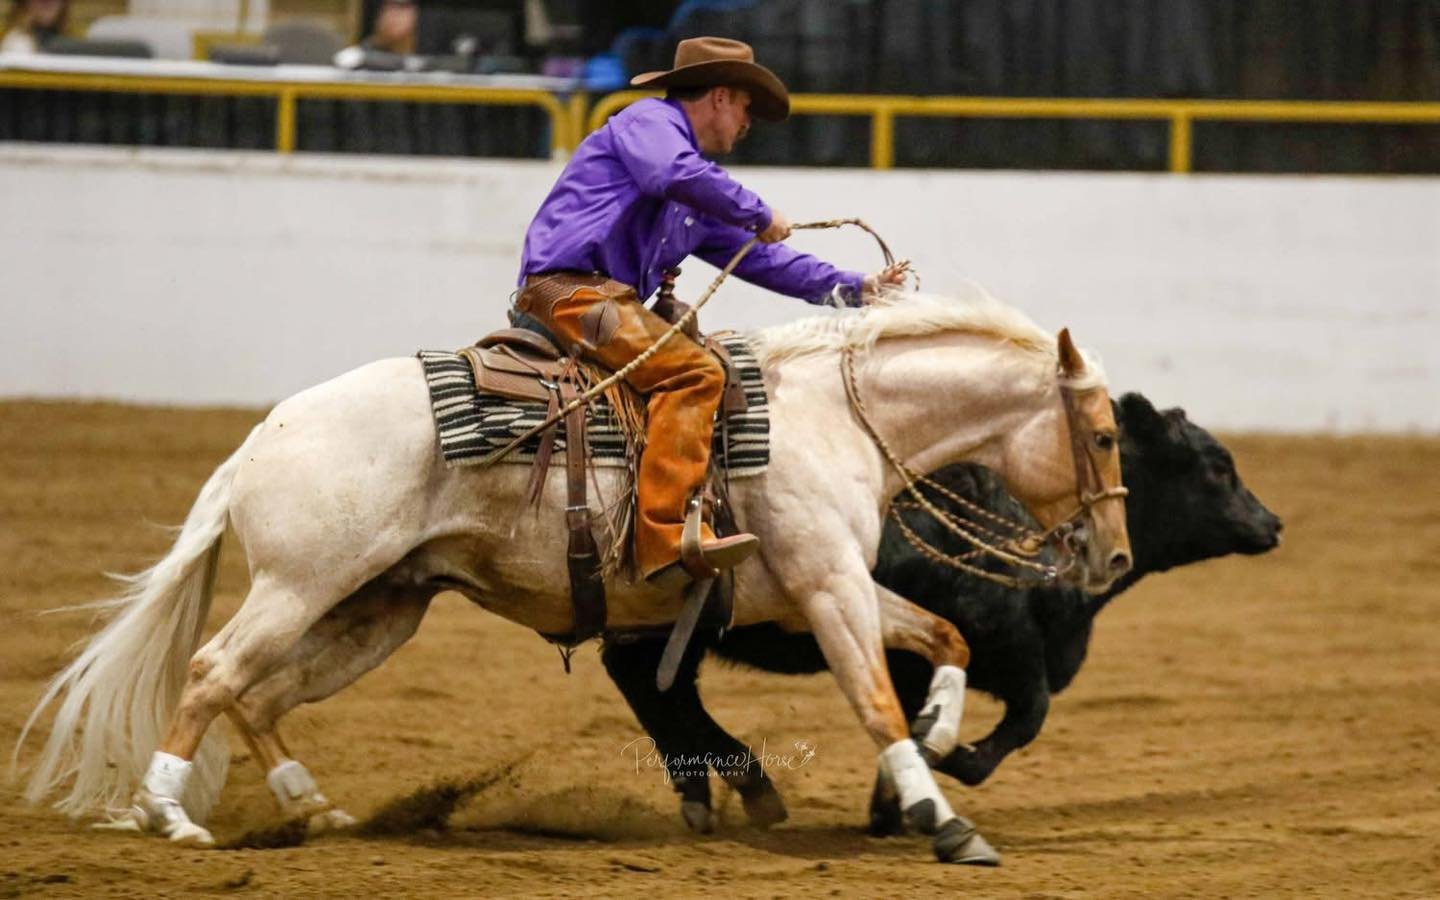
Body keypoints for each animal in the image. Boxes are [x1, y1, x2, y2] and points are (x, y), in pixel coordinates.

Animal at [18, 291, 1131, 865]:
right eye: (1107, 434)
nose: (1111, 556)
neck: (830, 417)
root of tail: (258, 440)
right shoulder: (828, 592)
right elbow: (873, 700)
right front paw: (945, 819)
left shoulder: (834, 589)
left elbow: (943, 639)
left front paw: (942, 737)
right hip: (300, 588)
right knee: (214, 673)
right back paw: (169, 813)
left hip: (378, 610)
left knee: (261, 694)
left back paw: (315, 809)